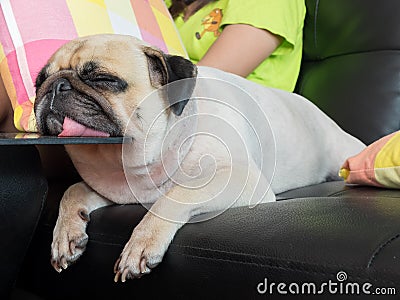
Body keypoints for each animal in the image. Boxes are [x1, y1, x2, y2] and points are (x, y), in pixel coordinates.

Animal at [34, 34, 366, 282]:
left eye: (103, 79)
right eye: (39, 82)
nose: (55, 86)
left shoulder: (238, 178)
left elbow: (175, 197)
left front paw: (142, 242)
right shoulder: (112, 190)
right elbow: (72, 191)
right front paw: (65, 233)